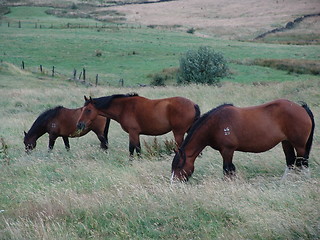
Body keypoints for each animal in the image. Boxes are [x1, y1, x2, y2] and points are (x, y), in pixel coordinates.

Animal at [171, 98, 314, 181]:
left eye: (178, 166)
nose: (174, 183)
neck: (216, 124)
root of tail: (302, 108)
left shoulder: (227, 150)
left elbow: (228, 170)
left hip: (299, 145)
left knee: (303, 163)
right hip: (287, 142)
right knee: (290, 162)